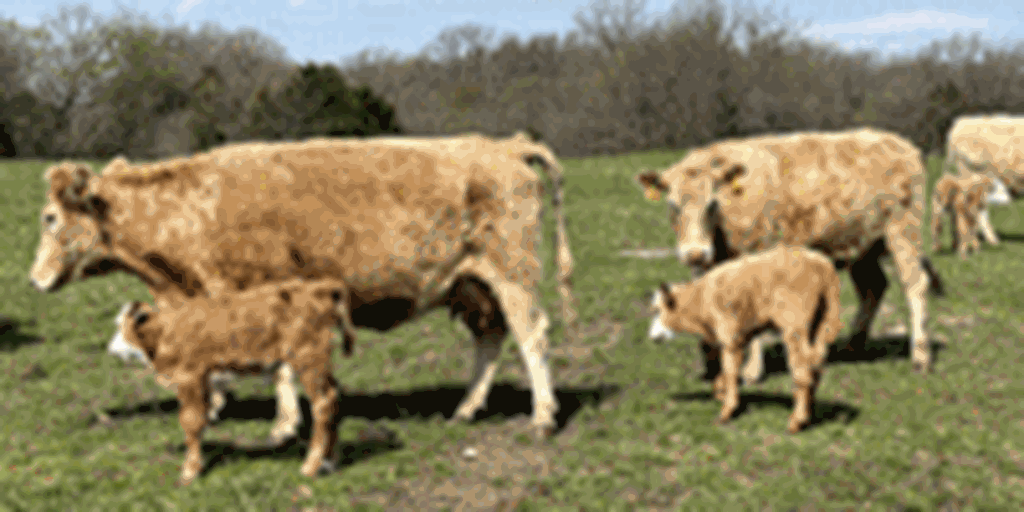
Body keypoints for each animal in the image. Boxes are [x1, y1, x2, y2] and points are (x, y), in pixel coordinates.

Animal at [28, 131, 579, 440]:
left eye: (50, 217)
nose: (34, 280)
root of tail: (503, 144)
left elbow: (279, 369)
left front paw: (282, 425)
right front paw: (215, 404)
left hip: (512, 273)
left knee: (532, 335)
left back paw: (542, 417)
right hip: (471, 285)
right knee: (491, 336)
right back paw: (466, 409)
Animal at [114, 278, 352, 484]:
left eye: (119, 326)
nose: (112, 348)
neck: (164, 332)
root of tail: (320, 288)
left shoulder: (190, 377)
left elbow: (191, 422)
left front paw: (189, 472)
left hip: (308, 358)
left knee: (323, 403)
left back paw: (311, 466)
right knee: (333, 396)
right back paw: (329, 462)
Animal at [635, 127, 946, 381]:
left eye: (712, 204)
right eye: (673, 205)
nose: (696, 253)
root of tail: (900, 143)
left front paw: (751, 371)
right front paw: (712, 363)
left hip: (902, 232)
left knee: (915, 285)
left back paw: (921, 357)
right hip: (863, 246)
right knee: (873, 287)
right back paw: (852, 346)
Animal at [646, 245, 843, 433]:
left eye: (657, 310)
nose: (653, 337)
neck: (700, 299)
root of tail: (822, 265)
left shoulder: (729, 337)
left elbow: (730, 371)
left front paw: (727, 411)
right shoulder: (741, 336)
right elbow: (730, 371)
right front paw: (721, 394)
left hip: (795, 328)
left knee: (803, 371)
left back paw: (796, 422)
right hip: (820, 325)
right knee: (815, 368)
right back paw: (809, 416)